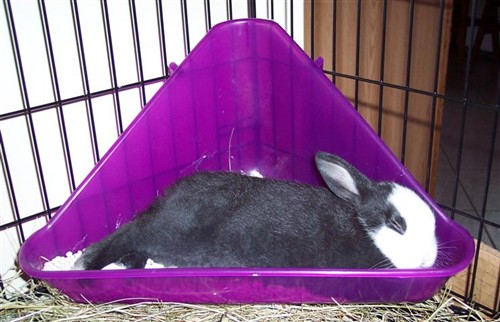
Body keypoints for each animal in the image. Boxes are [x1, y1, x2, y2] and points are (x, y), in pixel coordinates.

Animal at [73, 152, 438, 270]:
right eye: (397, 223)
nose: (428, 261)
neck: (364, 231)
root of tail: (167, 197)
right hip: (172, 229)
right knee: (131, 231)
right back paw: (87, 264)